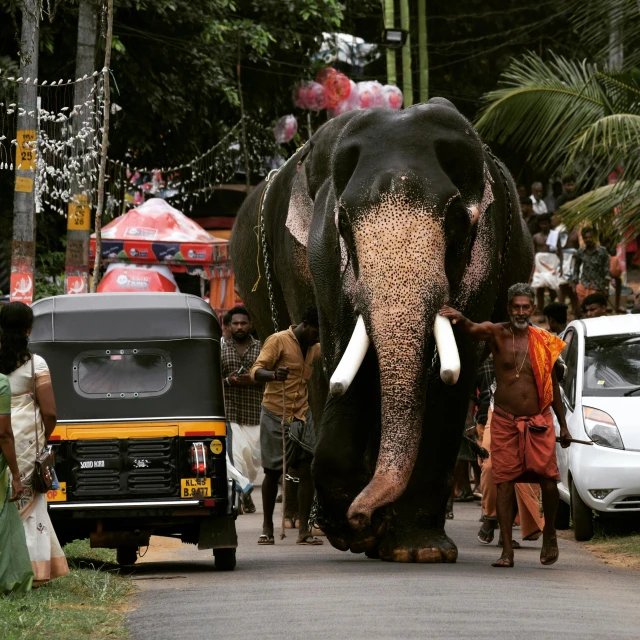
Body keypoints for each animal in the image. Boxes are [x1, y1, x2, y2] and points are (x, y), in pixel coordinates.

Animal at [231, 97, 536, 564]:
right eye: (341, 222)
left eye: (457, 220)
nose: (361, 518)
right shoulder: (323, 260)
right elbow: (344, 365)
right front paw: (354, 532)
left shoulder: (486, 251)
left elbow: (451, 379)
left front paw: (418, 550)